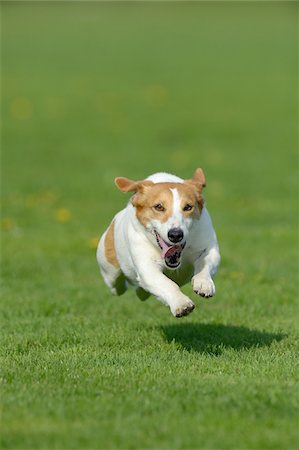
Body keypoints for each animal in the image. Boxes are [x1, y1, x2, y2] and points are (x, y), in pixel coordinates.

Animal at [97, 167, 221, 318]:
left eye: (188, 207)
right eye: (159, 207)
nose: (175, 234)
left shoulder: (209, 247)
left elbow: (205, 263)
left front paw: (203, 284)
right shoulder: (147, 267)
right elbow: (167, 284)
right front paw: (181, 304)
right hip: (110, 270)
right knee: (117, 286)